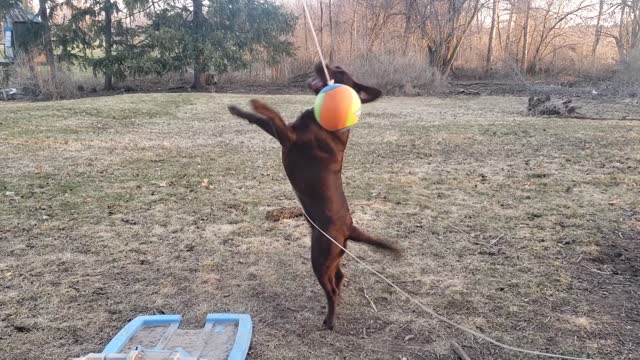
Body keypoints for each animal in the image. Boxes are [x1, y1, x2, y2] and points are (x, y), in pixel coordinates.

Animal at [228, 64, 398, 330]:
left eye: (338, 69)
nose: (319, 63)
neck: (329, 123)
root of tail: (350, 228)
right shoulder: (283, 136)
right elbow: (262, 120)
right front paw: (238, 110)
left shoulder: (289, 137)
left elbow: (272, 115)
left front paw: (258, 103)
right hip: (332, 257)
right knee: (339, 277)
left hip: (320, 257)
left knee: (330, 290)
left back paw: (329, 320)